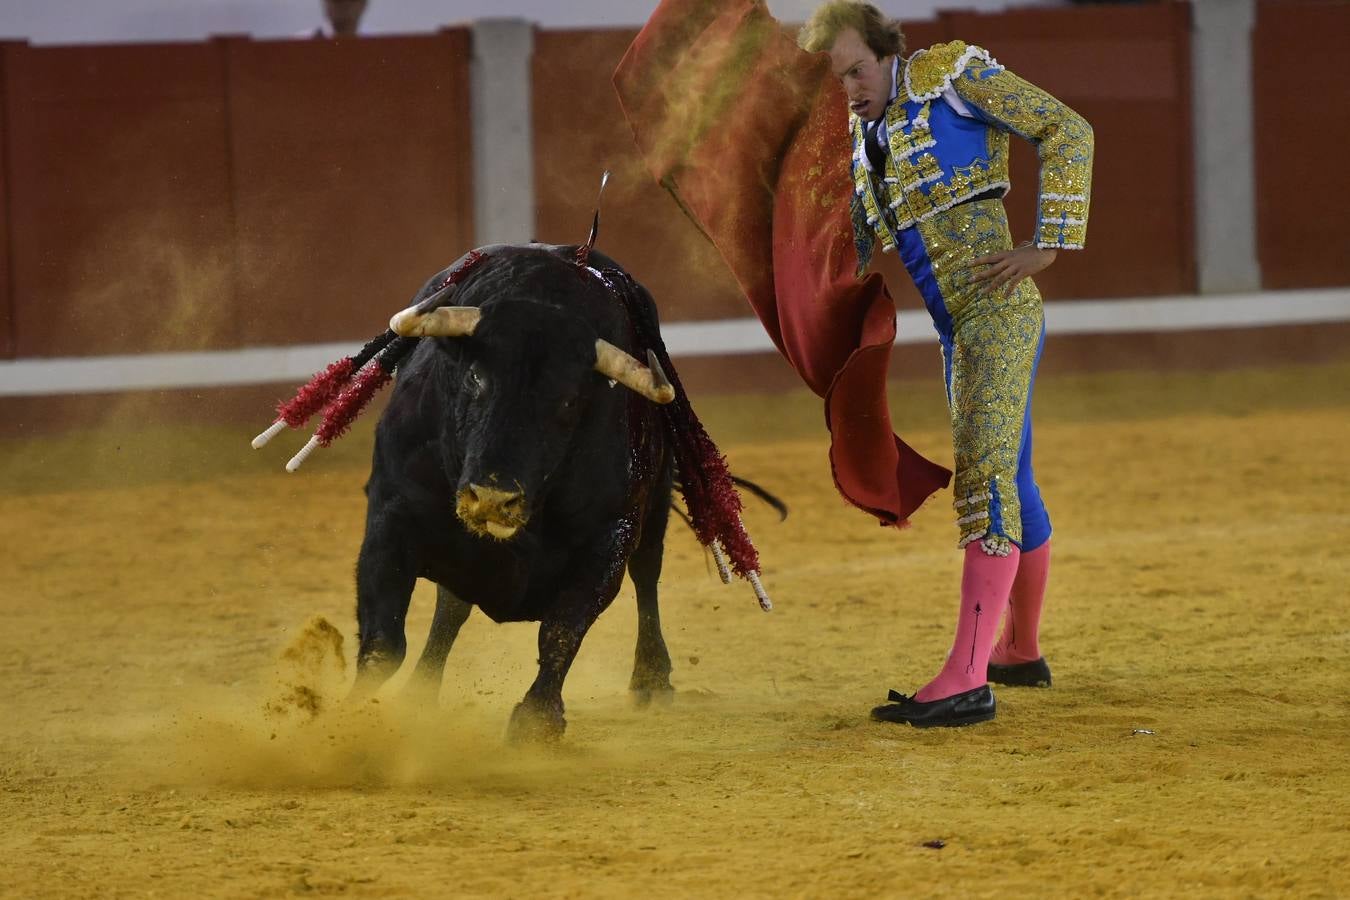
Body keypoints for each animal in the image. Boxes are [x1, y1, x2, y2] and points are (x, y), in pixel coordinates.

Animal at [353, 242, 691, 744]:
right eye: (474, 377)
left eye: (569, 400)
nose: (493, 499)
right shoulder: (392, 515)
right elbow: (383, 640)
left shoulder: (609, 536)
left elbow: (562, 630)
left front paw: (537, 722)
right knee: (450, 609)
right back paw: (420, 695)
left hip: (657, 501)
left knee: (647, 573)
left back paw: (652, 679)